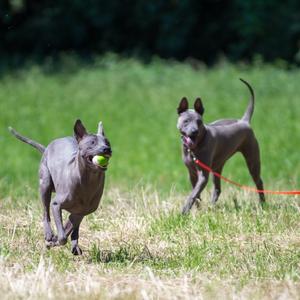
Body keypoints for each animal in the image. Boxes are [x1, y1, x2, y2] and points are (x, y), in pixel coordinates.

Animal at [10, 119, 112, 253]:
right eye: (92, 143)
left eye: (107, 142)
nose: (107, 149)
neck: (87, 182)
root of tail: (48, 147)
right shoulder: (56, 205)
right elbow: (63, 236)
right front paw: (53, 241)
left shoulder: (80, 212)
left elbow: (68, 228)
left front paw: (56, 241)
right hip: (45, 184)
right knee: (45, 213)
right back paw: (49, 234)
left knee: (74, 229)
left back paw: (74, 246)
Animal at [177, 78, 266, 214]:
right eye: (186, 121)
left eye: (199, 122)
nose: (194, 131)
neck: (194, 148)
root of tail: (244, 121)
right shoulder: (191, 173)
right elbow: (196, 194)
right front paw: (197, 210)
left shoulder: (203, 175)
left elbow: (193, 194)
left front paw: (185, 211)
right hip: (217, 167)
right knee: (217, 189)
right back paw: (211, 206)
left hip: (252, 160)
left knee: (259, 182)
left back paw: (263, 204)